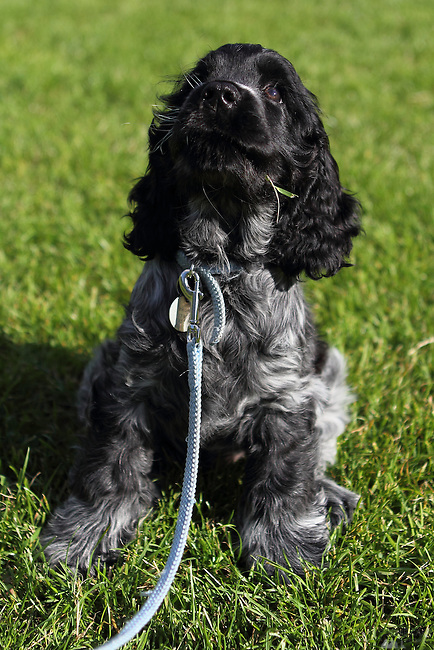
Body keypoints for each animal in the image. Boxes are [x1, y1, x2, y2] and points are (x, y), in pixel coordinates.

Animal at [43, 44, 362, 576]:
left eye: (275, 92)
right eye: (197, 80)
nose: (219, 94)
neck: (219, 268)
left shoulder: (289, 396)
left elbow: (288, 472)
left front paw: (284, 550)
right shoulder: (128, 385)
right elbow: (111, 465)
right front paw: (84, 538)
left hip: (330, 375)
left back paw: (331, 496)